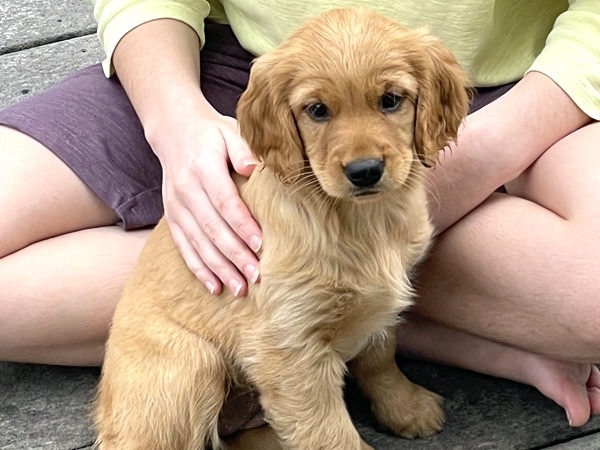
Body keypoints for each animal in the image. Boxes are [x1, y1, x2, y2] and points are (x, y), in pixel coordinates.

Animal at [94, 7, 468, 450]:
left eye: (391, 100)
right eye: (318, 110)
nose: (365, 172)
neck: (359, 220)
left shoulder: (379, 305)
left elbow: (380, 356)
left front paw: (406, 407)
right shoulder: (289, 348)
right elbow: (328, 433)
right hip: (192, 364)